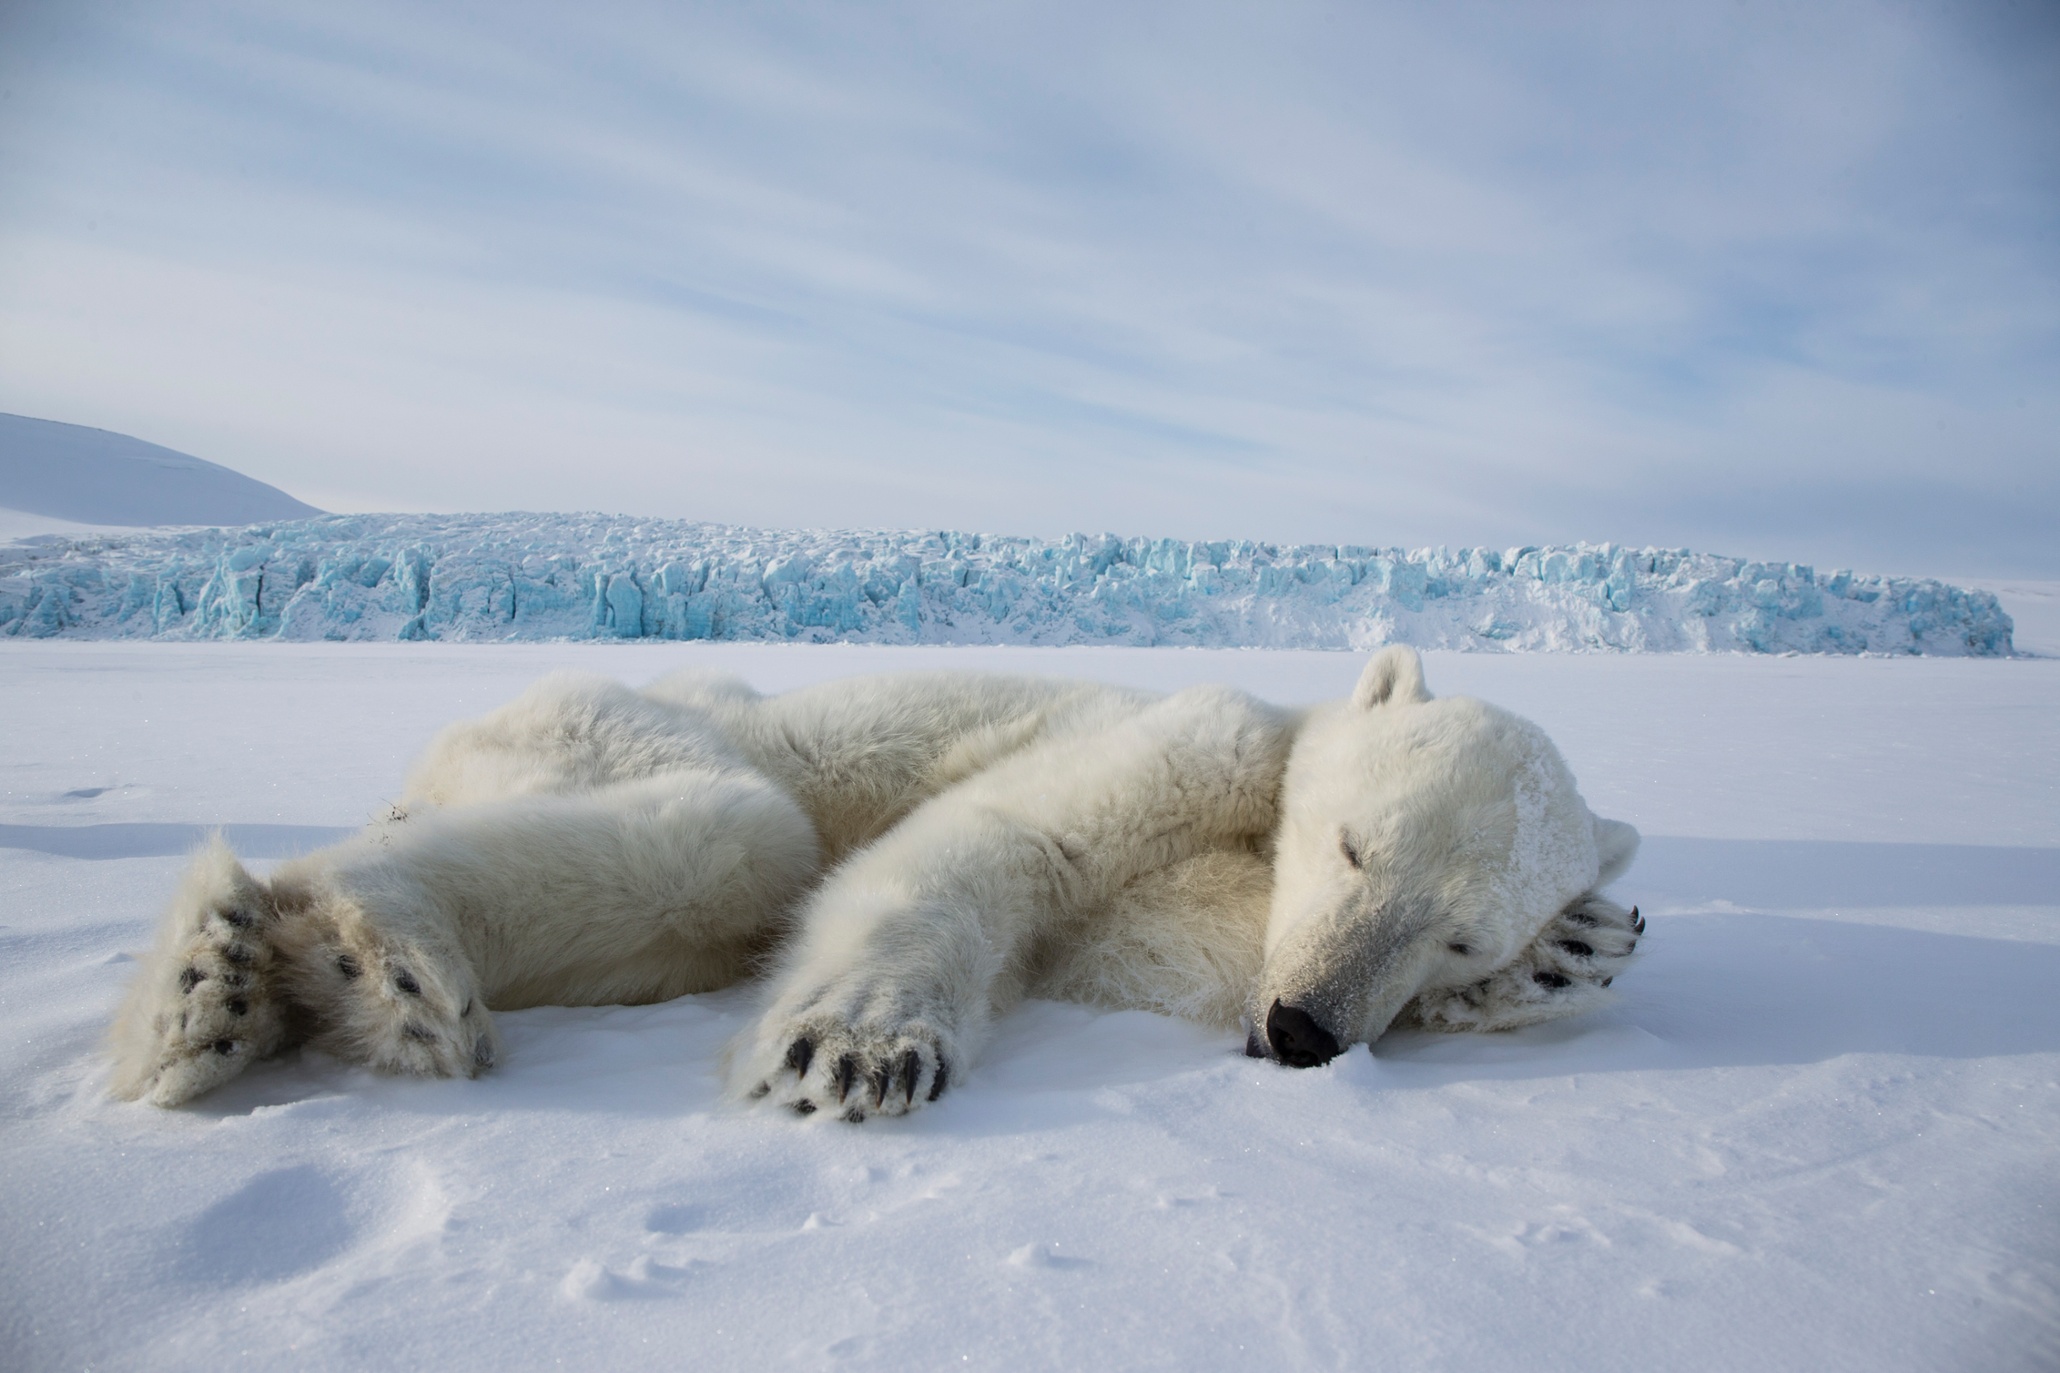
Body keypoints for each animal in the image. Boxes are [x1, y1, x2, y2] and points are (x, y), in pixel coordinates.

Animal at [104, 646, 1639, 1119]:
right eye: (1355, 844)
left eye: (1457, 934)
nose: (1304, 1029)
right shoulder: (1211, 742)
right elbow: (1001, 843)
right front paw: (857, 1048)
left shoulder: (1216, 918)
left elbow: (1156, 947)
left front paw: (1580, 947)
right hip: (611, 723)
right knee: (738, 833)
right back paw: (345, 959)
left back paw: (239, 1000)